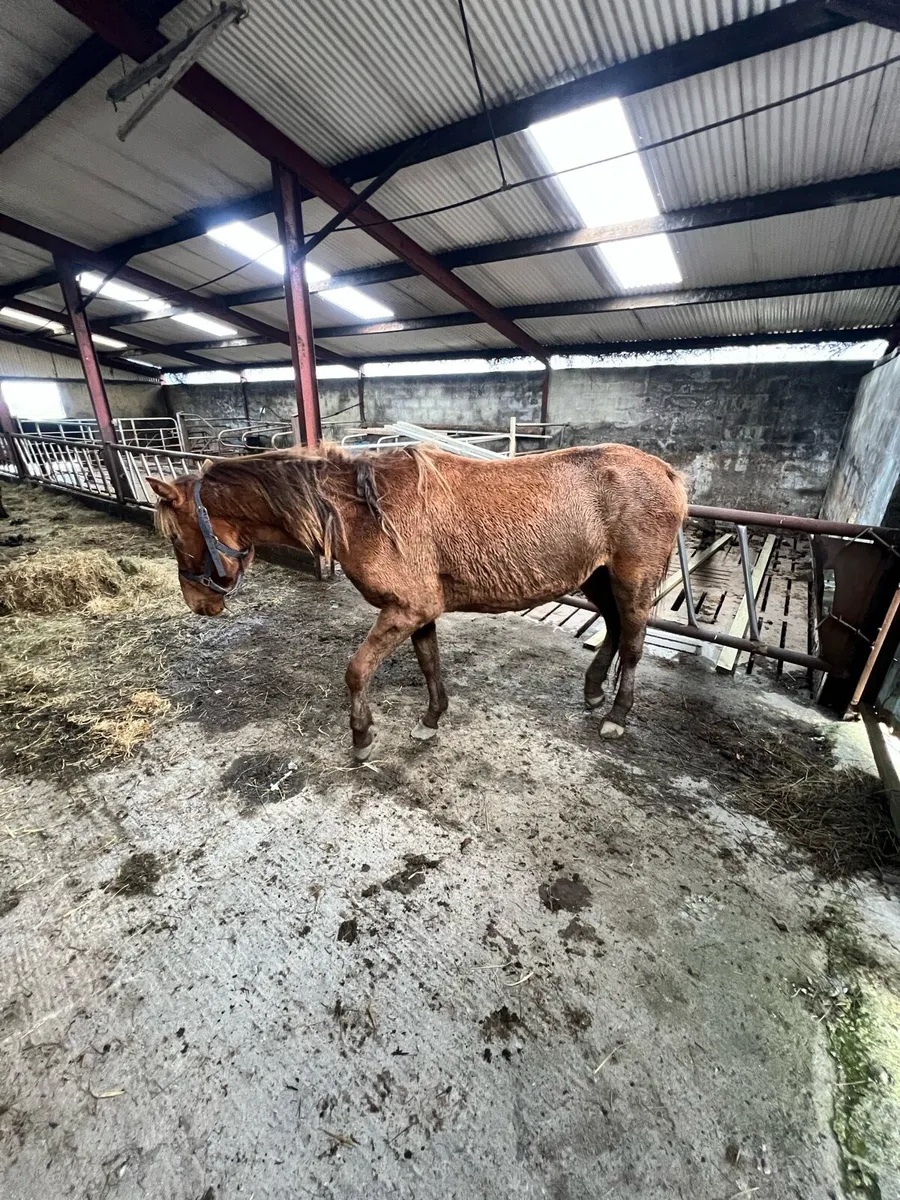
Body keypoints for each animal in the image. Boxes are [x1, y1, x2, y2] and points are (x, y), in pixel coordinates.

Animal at [146, 442, 687, 760]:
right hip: (597, 576)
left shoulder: (405, 610)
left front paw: (361, 737)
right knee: (614, 628)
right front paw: (431, 720)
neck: (362, 511)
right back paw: (594, 691)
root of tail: (665, 470)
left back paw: (616, 717)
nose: (199, 604)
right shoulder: (418, 611)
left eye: (174, 536)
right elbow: (429, 663)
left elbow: (357, 671)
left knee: (633, 642)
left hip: (632, 578)